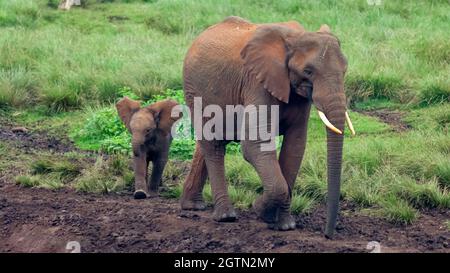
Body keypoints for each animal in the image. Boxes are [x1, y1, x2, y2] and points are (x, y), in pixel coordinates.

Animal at [179, 16, 356, 236]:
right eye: (308, 71)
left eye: (345, 70)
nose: (327, 234)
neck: (296, 38)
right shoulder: (256, 81)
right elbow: (255, 144)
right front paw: (260, 210)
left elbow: (295, 147)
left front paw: (284, 225)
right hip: (196, 91)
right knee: (214, 146)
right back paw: (225, 217)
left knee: (207, 143)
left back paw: (192, 206)